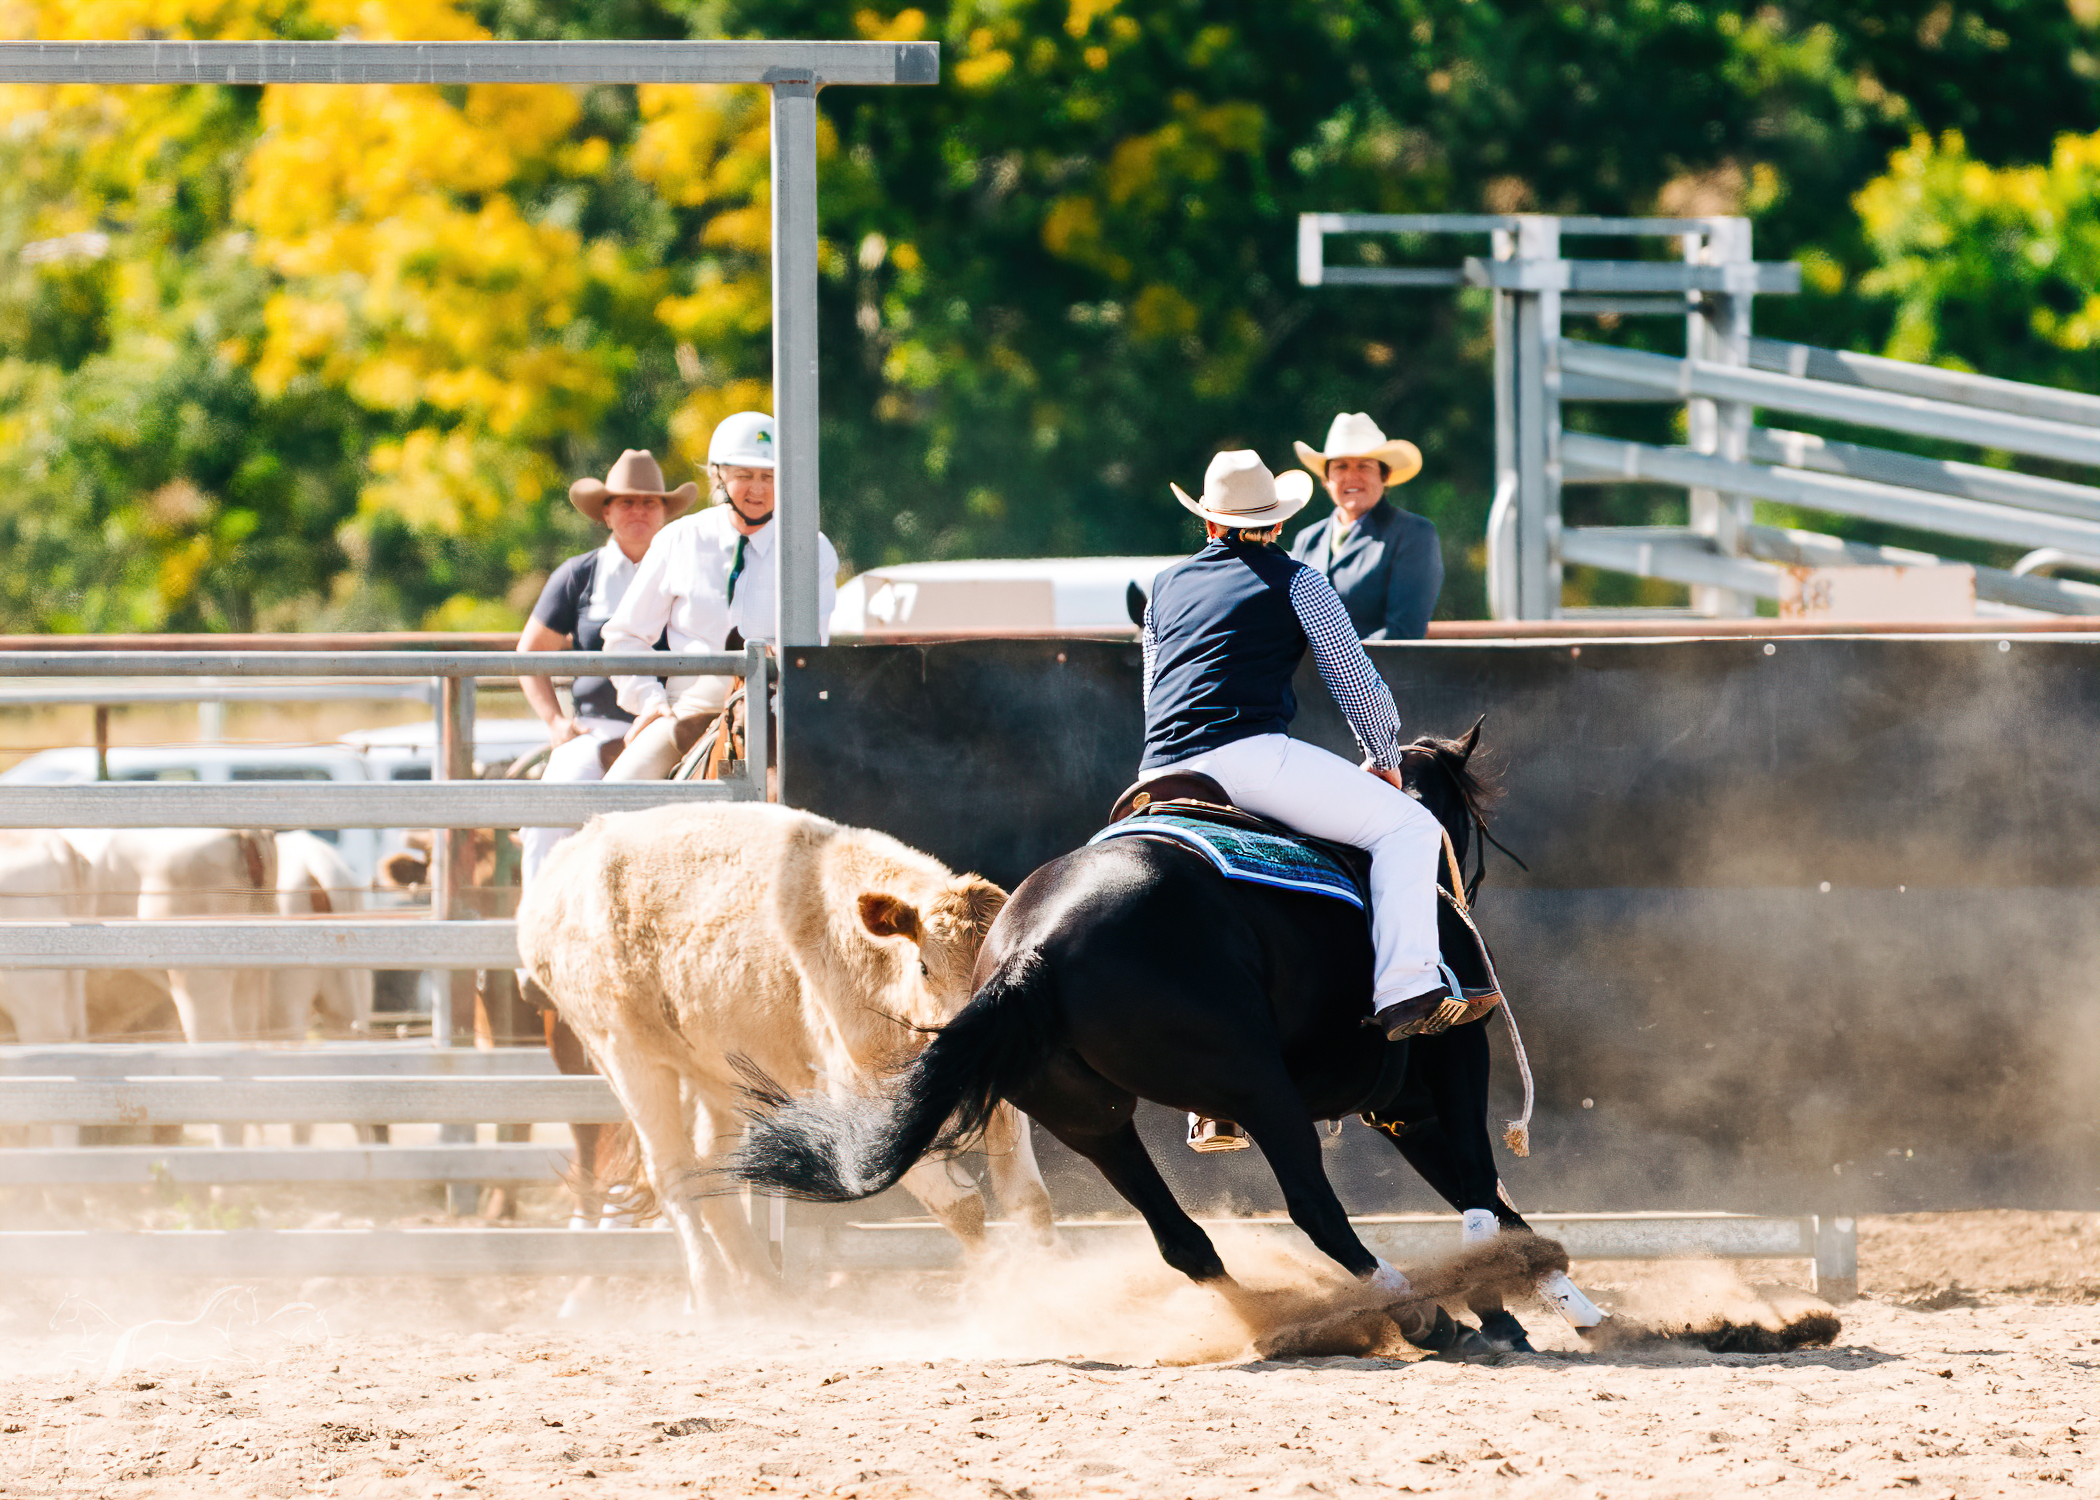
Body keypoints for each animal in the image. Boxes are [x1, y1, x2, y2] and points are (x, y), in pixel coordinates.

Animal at [516, 802, 1058, 1312]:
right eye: (924, 967)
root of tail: (568, 861)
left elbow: (1029, 1200)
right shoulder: (867, 1111)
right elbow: (963, 1207)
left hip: (715, 1072)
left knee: (712, 1169)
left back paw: (766, 1292)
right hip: (626, 1055)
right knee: (670, 1171)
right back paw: (710, 1294)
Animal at [732, 724, 1605, 1352]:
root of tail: (1033, 949)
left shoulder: (1399, 1106)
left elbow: (1475, 1192)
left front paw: (1511, 1309)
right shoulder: (1454, 1064)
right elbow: (1485, 1188)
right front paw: (1545, 1301)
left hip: (1090, 1122)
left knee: (1183, 1242)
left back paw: (1284, 1322)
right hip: (1260, 1089)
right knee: (1314, 1207)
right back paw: (1411, 1310)